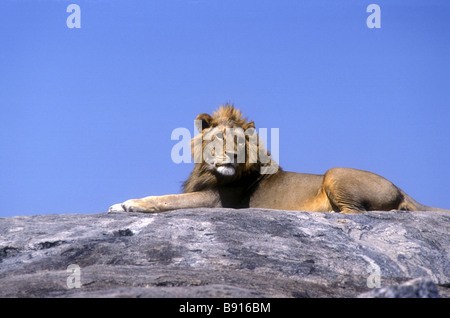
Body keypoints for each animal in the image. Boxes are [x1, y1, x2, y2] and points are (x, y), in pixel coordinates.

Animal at [108, 104, 446, 214]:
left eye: (240, 141)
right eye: (220, 138)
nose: (232, 156)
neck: (207, 171)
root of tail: (402, 189)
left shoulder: (217, 201)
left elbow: (165, 199)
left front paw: (127, 204)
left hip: (334, 172)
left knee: (354, 212)